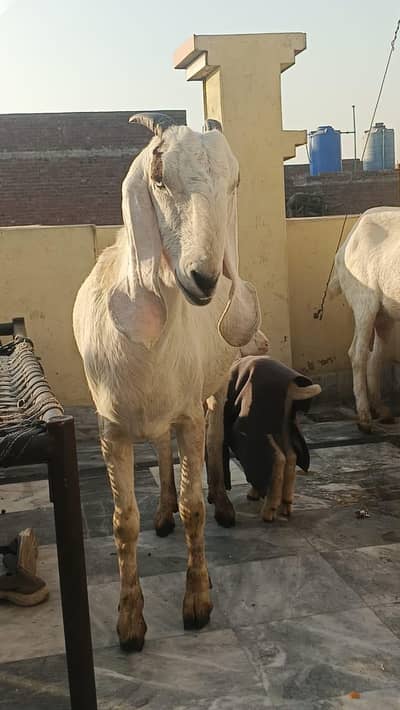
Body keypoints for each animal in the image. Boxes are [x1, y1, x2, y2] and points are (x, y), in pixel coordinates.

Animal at [73, 113, 261, 651]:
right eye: (159, 181)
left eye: (234, 183)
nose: (204, 278)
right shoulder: (111, 428)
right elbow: (123, 523)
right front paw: (129, 623)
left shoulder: (187, 413)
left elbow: (194, 506)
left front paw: (198, 601)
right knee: (158, 448)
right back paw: (162, 511)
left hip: (210, 390)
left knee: (214, 431)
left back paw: (223, 504)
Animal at [223, 356, 321, 522]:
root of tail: (290, 386)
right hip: (283, 426)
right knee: (291, 457)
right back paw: (285, 505)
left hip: (261, 428)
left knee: (277, 459)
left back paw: (269, 511)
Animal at [329, 207, 400, 432]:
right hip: (364, 302)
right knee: (357, 353)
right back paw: (364, 419)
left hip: (384, 313)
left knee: (376, 355)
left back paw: (383, 412)